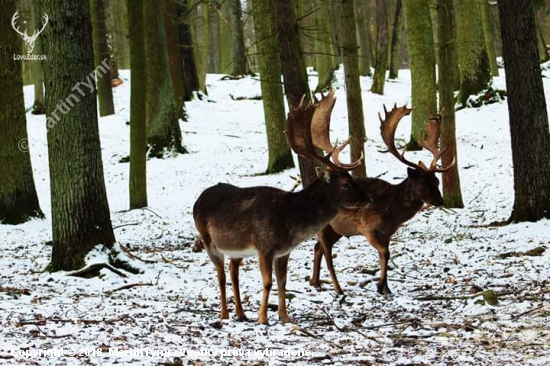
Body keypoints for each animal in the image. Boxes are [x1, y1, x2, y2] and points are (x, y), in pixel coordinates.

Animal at [193, 91, 370, 324]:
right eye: (345, 183)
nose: (368, 198)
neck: (289, 222)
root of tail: (197, 200)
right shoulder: (264, 247)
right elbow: (268, 282)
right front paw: (263, 318)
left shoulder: (283, 252)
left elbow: (282, 282)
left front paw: (285, 317)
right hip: (208, 239)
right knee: (221, 274)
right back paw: (224, 314)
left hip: (236, 247)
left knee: (232, 270)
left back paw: (240, 313)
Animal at [310, 103, 458, 294]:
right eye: (423, 183)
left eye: (437, 181)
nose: (441, 201)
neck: (392, 212)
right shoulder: (368, 228)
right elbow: (385, 253)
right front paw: (381, 286)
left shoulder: (387, 233)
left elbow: (385, 255)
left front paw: (385, 287)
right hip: (326, 226)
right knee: (325, 251)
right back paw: (335, 288)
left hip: (337, 229)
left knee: (317, 247)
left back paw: (315, 282)